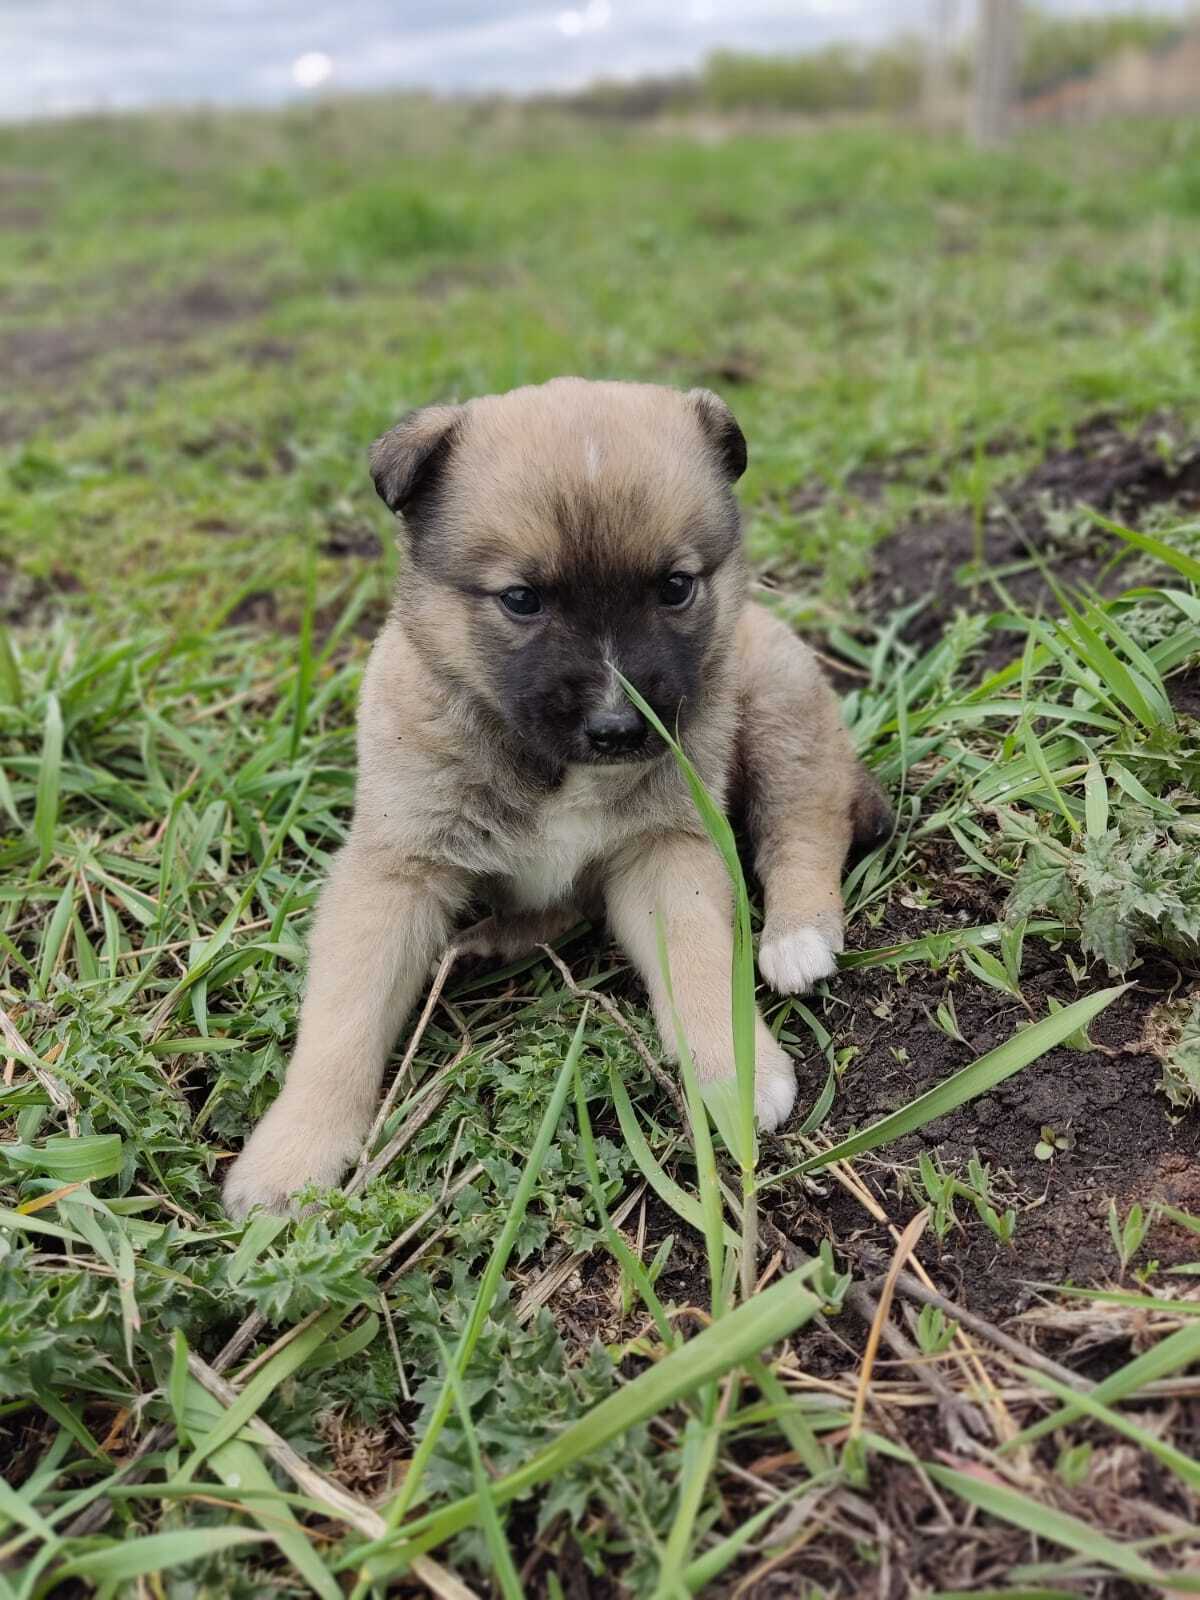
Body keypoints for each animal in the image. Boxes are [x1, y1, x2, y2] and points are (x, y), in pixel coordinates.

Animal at [225, 380, 896, 1216]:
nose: (617, 729)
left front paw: (734, 1073)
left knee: (805, 821)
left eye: (675, 587)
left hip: (777, 701)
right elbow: (343, 1018)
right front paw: (293, 1153)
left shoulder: (665, 846)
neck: (551, 766)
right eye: (521, 599)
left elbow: (700, 958)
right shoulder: (396, 866)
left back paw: (797, 935)